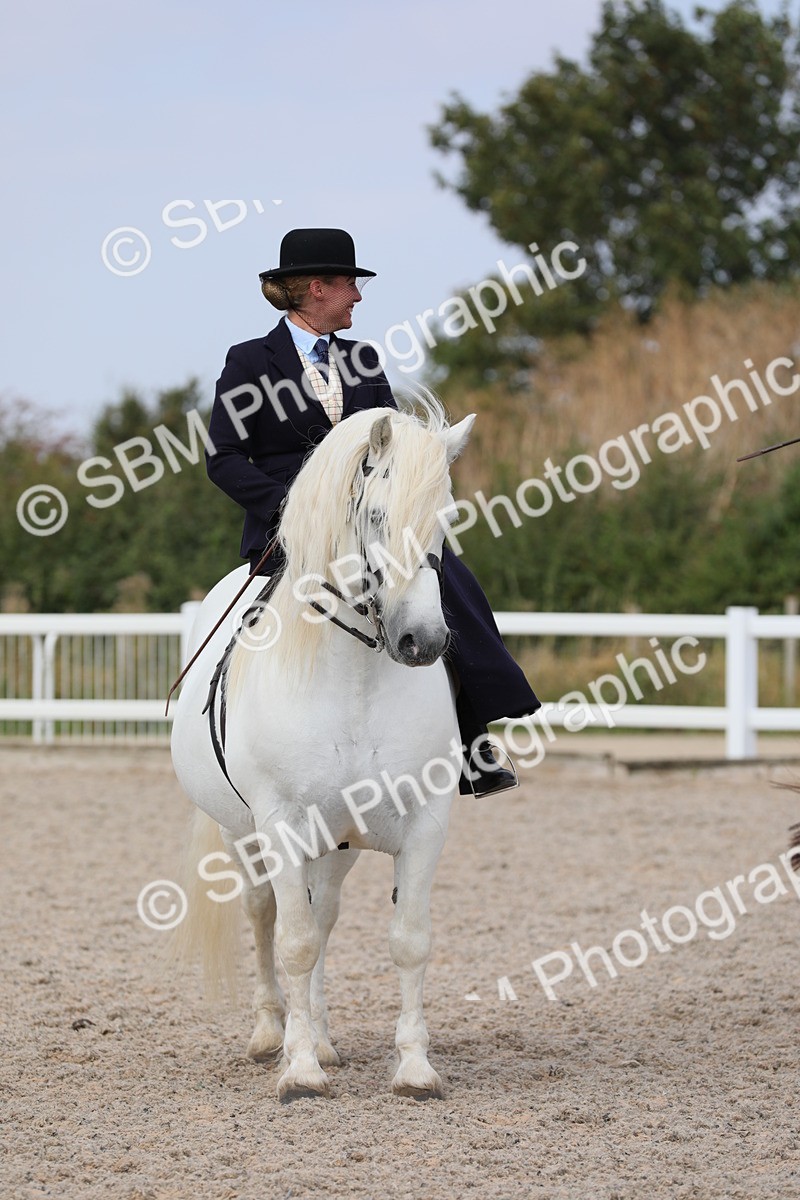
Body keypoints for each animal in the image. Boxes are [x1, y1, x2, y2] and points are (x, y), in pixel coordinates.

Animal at [170, 396, 475, 1102]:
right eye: (376, 515)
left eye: (448, 520)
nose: (422, 641)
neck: (355, 678)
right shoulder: (279, 823)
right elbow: (294, 943)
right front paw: (301, 1071)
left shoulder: (426, 822)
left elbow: (408, 940)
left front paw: (413, 1067)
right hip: (243, 835)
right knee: (265, 917)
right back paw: (273, 1035)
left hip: (336, 842)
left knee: (323, 912)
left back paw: (324, 1036)